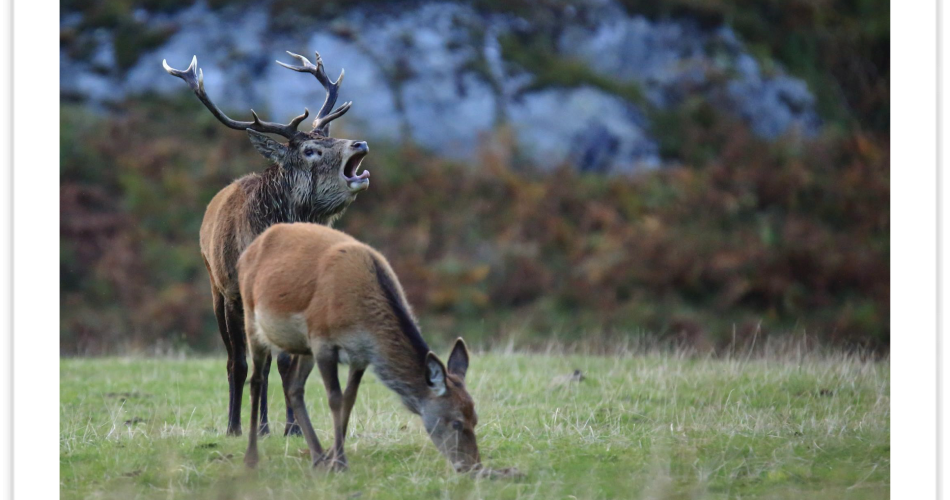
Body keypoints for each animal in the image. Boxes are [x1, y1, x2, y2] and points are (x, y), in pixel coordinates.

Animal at [164, 49, 372, 434]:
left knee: (270, 360)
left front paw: (293, 426)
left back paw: (264, 424)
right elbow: (239, 363)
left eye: (329, 137)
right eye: (310, 150)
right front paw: (233, 427)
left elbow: (287, 362)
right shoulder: (233, 293)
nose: (360, 143)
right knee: (240, 359)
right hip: (215, 288)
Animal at [235, 223, 480, 472]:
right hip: (251, 318)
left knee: (294, 387)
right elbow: (335, 398)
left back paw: (318, 457)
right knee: (256, 380)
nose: (474, 466)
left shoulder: (359, 355)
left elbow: (349, 399)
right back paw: (251, 456)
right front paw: (340, 463)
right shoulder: (322, 340)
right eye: (456, 422)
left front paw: (333, 457)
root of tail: (248, 251)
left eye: (475, 419)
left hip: (304, 347)